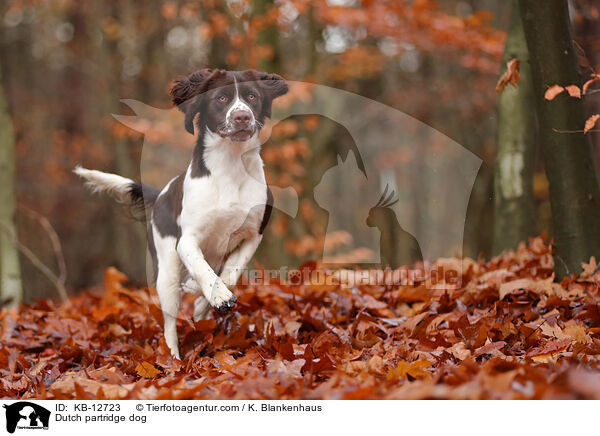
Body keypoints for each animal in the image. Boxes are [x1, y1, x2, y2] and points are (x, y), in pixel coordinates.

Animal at [74, 69, 290, 358]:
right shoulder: (186, 240)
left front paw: (214, 296)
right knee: (169, 323)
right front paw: (219, 295)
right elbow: (201, 267)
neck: (231, 166)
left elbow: (231, 272)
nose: (242, 117)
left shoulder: (253, 235)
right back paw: (173, 359)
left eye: (252, 96)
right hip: (166, 270)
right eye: (221, 98)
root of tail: (160, 195)